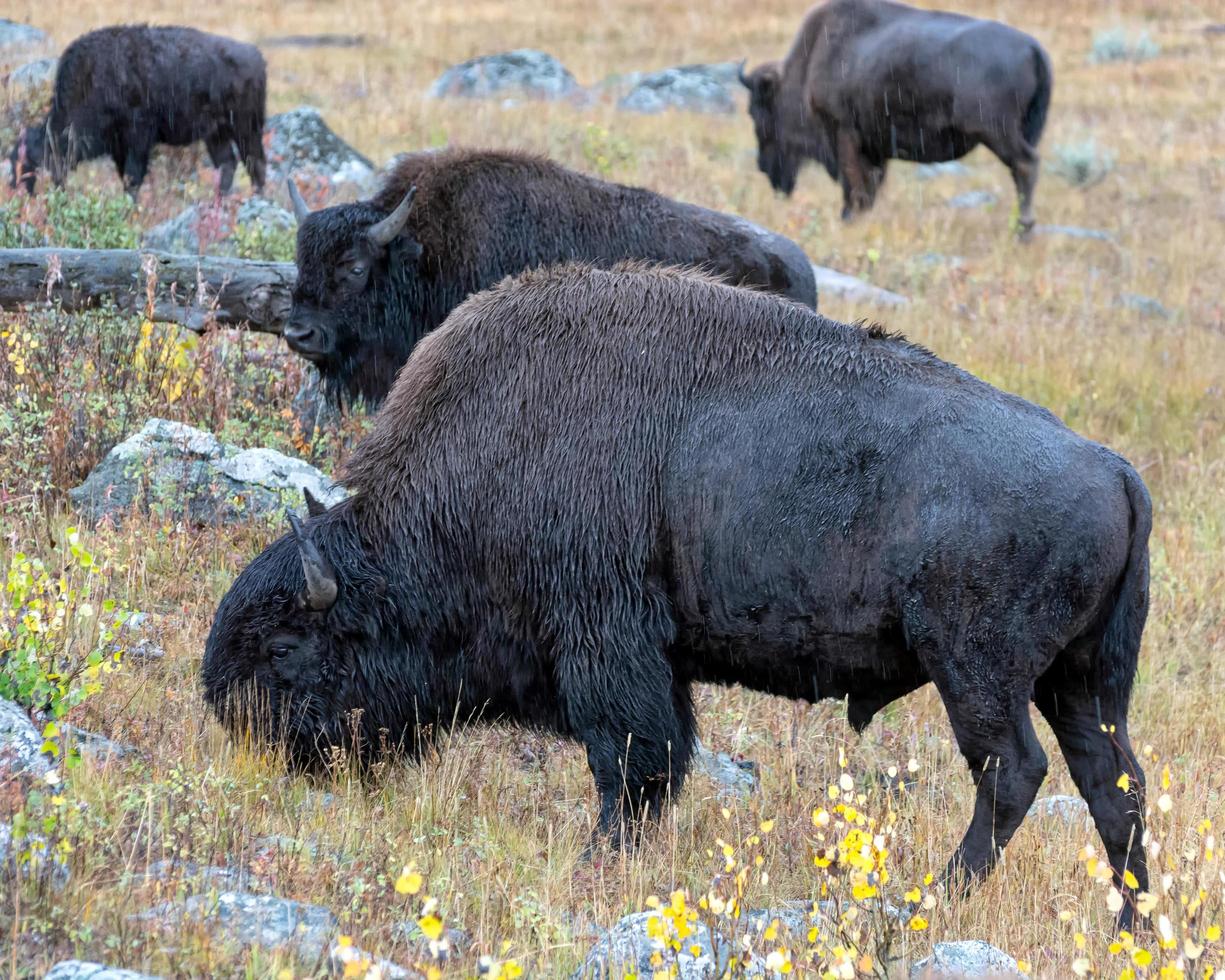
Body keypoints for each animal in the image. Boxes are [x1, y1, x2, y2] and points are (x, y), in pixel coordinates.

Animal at [8, 25, 268, 198]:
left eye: (30, 165)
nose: (17, 193)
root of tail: (256, 55)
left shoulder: (137, 139)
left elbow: (133, 178)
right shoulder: (119, 147)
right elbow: (126, 176)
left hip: (245, 128)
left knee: (255, 163)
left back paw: (255, 198)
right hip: (216, 134)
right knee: (228, 163)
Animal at [205, 259, 1151, 926]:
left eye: (285, 645)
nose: (232, 718)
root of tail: (1114, 468)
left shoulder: (606, 649)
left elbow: (631, 764)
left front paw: (598, 864)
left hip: (978, 671)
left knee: (1012, 773)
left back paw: (928, 901)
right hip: (1081, 683)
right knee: (1114, 786)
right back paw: (1130, 927)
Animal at [735, 0, 1053, 235]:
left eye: (758, 111)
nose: (763, 167)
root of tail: (1034, 49)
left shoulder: (844, 132)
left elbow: (855, 183)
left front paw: (848, 217)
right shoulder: (873, 145)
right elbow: (870, 183)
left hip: (995, 131)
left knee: (1025, 164)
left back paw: (1023, 228)